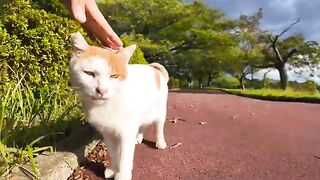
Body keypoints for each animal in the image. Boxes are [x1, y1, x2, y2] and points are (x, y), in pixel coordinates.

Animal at [69, 32, 169, 180]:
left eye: (114, 76)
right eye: (89, 73)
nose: (102, 90)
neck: (107, 104)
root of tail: (154, 70)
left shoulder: (126, 131)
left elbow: (125, 157)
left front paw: (122, 174)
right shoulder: (107, 132)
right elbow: (113, 152)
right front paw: (112, 169)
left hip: (160, 111)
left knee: (159, 127)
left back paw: (160, 142)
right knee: (143, 125)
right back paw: (138, 137)